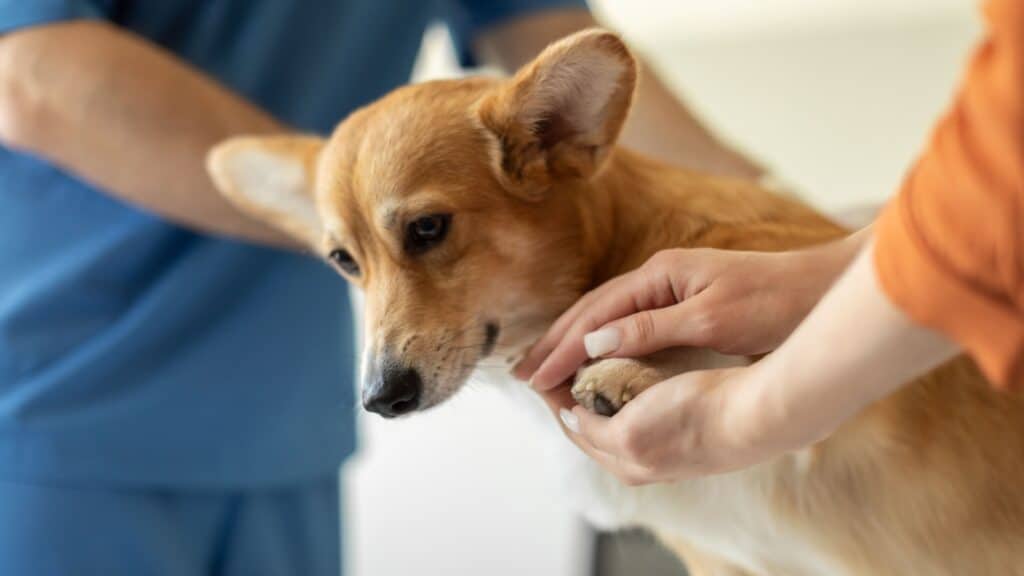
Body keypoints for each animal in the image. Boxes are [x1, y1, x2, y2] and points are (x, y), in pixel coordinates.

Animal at [203, 29, 1024, 573]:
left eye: (428, 228)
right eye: (344, 262)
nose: (380, 399)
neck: (611, 258)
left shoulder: (880, 380)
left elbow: (770, 355)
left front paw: (636, 374)